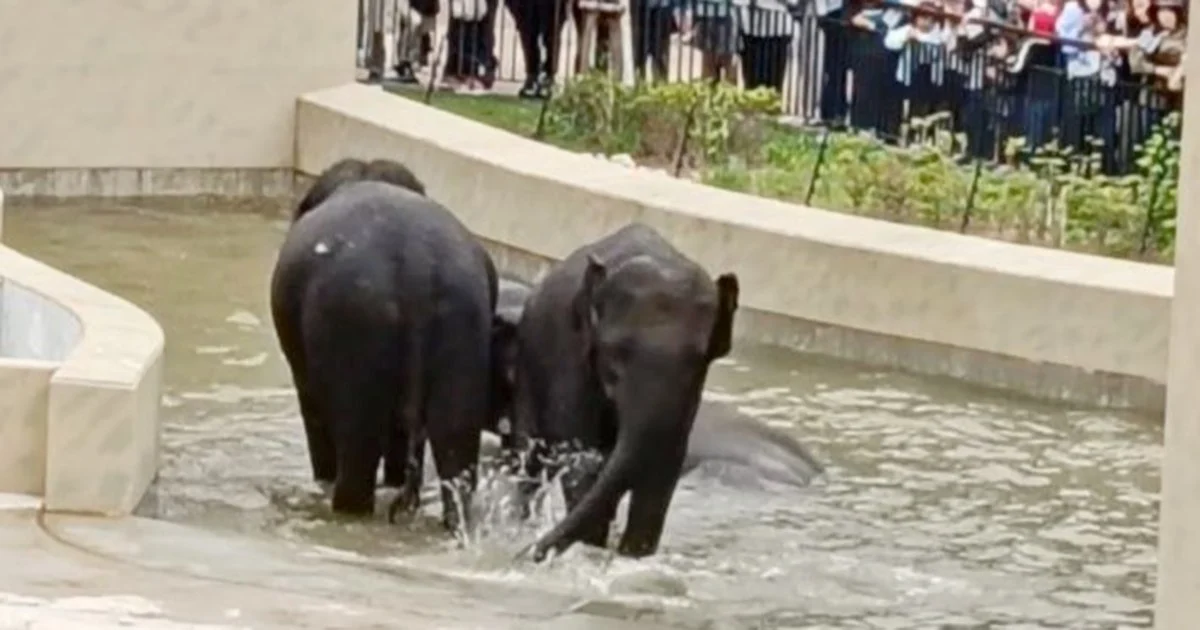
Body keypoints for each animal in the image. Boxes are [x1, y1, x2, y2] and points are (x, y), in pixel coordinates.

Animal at [508, 222, 739, 560]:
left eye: (699, 359)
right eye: (615, 352)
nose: (528, 554)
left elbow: (665, 462)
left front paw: (633, 555)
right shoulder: (568, 353)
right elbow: (581, 454)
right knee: (529, 460)